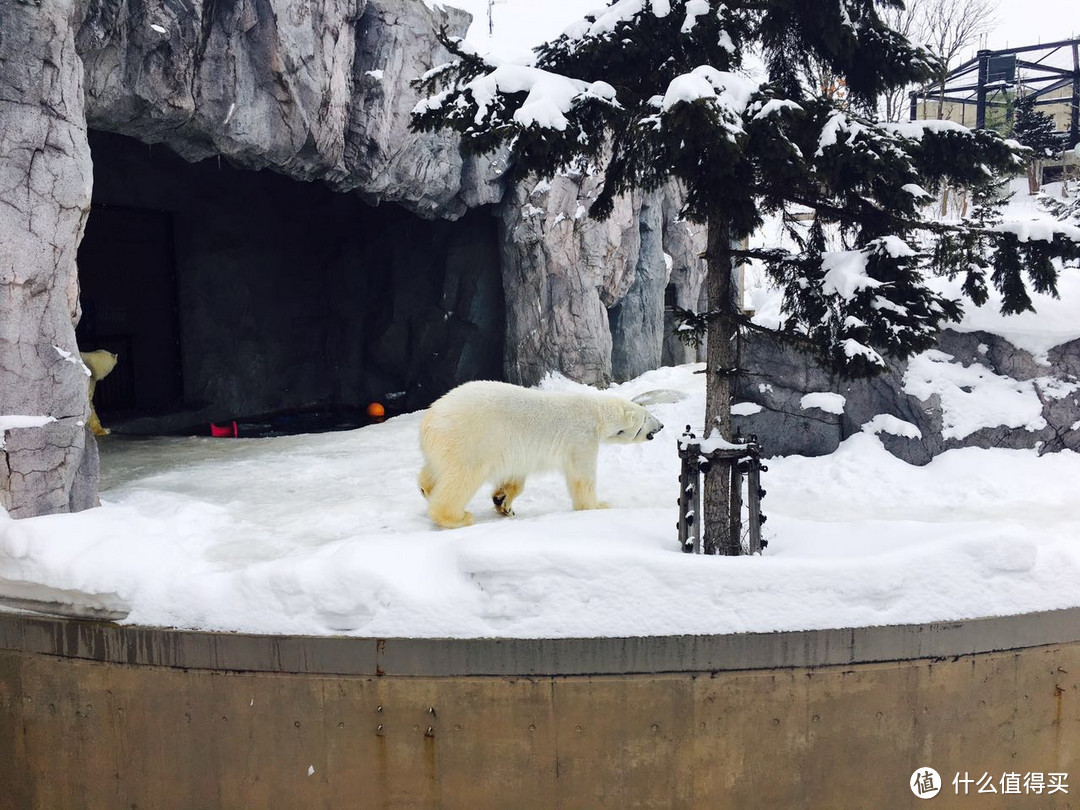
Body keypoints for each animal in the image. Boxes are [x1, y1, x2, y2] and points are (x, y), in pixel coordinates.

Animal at [416, 382, 660, 529]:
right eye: (648, 416)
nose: (661, 425)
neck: (596, 413)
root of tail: (430, 417)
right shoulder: (581, 437)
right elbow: (582, 477)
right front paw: (599, 505)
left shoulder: (517, 450)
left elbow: (515, 477)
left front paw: (503, 502)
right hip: (470, 438)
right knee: (462, 477)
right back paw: (457, 517)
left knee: (437, 468)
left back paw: (426, 488)